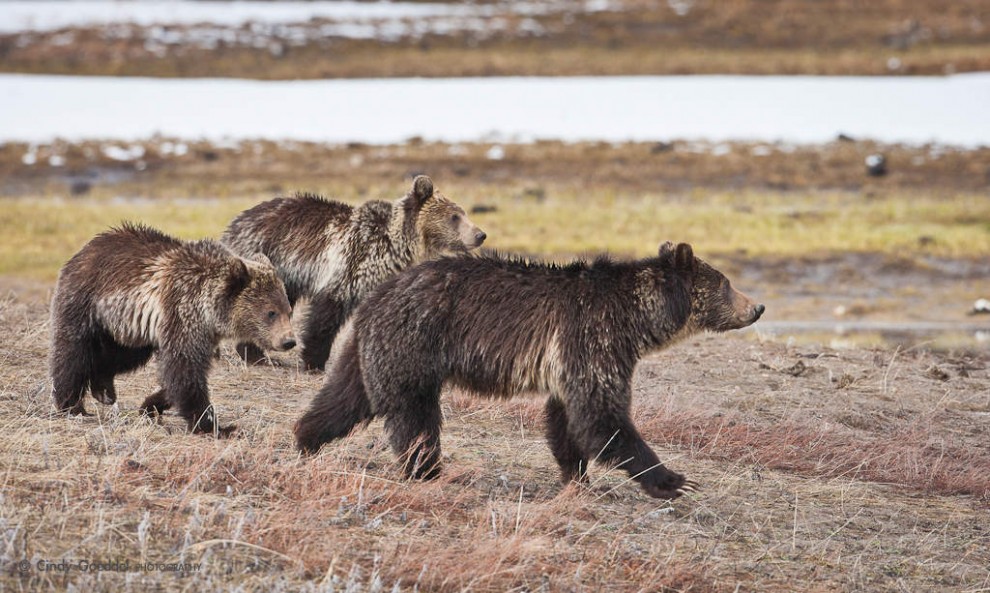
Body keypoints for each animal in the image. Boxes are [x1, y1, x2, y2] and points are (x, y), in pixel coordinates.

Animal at [48, 222, 294, 434]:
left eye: (289, 310)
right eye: (271, 312)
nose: (289, 341)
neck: (210, 310)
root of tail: (85, 248)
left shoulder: (203, 333)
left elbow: (179, 374)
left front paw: (150, 405)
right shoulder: (183, 313)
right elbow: (184, 370)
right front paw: (215, 425)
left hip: (128, 325)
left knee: (121, 354)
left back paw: (103, 388)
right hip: (87, 303)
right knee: (73, 352)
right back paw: (72, 404)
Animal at [223, 175, 490, 370]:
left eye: (464, 213)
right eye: (454, 216)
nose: (480, 234)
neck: (397, 245)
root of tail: (235, 221)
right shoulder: (354, 262)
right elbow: (327, 311)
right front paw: (314, 360)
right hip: (265, 253)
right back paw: (256, 354)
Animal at [294, 243, 768, 498]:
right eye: (726, 282)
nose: (758, 307)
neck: (636, 320)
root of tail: (380, 293)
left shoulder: (571, 360)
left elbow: (567, 421)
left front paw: (578, 477)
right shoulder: (594, 338)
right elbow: (604, 418)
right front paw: (671, 479)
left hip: (374, 348)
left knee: (346, 398)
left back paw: (305, 439)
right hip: (415, 343)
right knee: (414, 417)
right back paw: (427, 469)